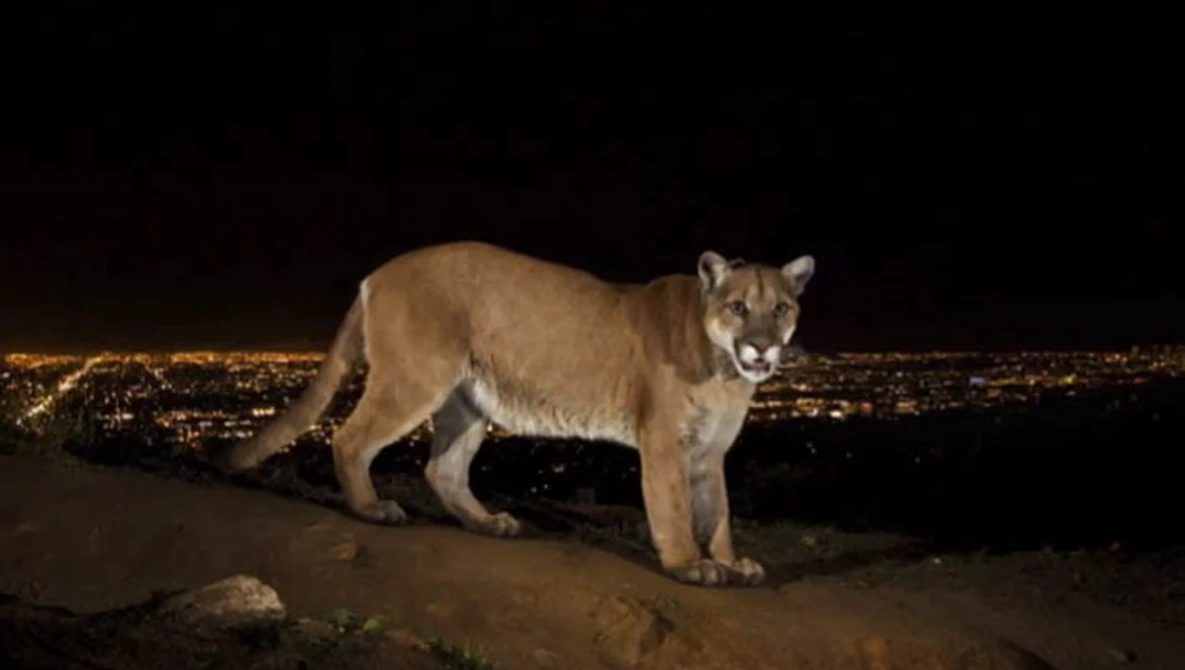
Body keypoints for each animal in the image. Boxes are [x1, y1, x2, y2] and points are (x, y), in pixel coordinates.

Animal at [222, 242, 815, 587]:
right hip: (417, 379)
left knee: (442, 468)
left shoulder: (710, 450)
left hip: (468, 400)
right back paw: (373, 509)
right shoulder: (666, 439)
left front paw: (731, 560)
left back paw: (487, 523)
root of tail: (377, 272)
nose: (762, 347)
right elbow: (674, 508)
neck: (726, 371)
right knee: (349, 438)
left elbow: (718, 511)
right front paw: (690, 564)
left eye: (780, 308)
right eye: (738, 307)